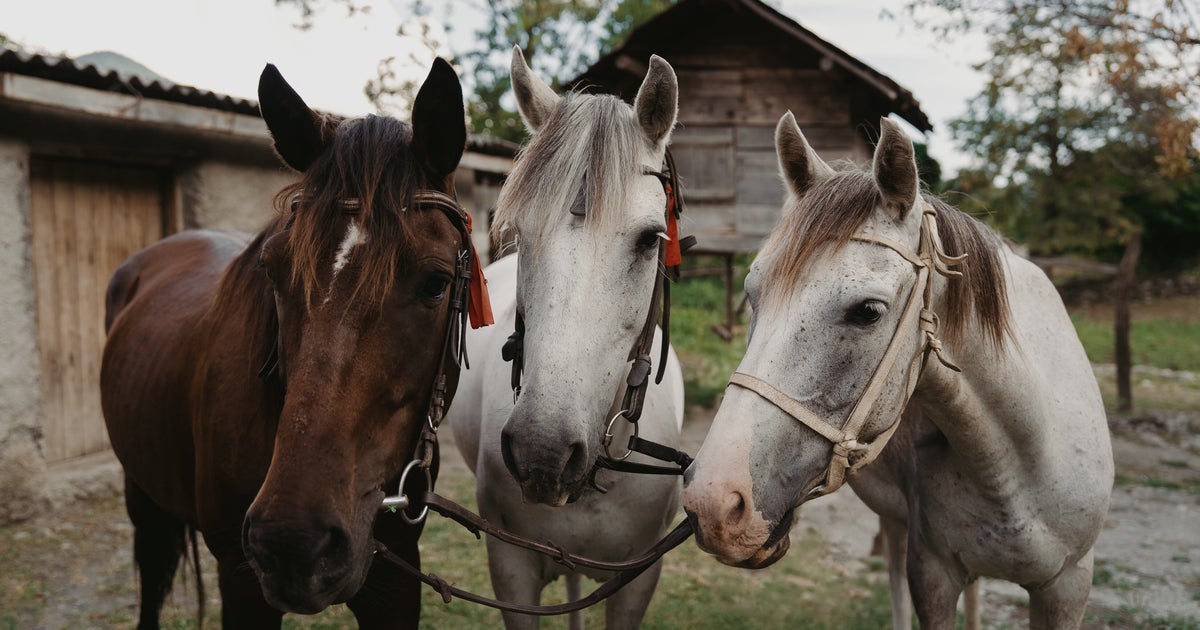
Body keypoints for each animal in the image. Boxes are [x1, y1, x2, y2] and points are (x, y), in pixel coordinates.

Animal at [100, 58, 476, 629]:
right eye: (274, 270)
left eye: (436, 283)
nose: (293, 544)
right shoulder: (240, 580)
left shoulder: (395, 577)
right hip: (142, 494)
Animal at [682, 113, 1113, 629]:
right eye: (753, 294)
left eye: (867, 311)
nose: (713, 501)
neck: (1016, 462)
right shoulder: (931, 573)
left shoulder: (1068, 584)